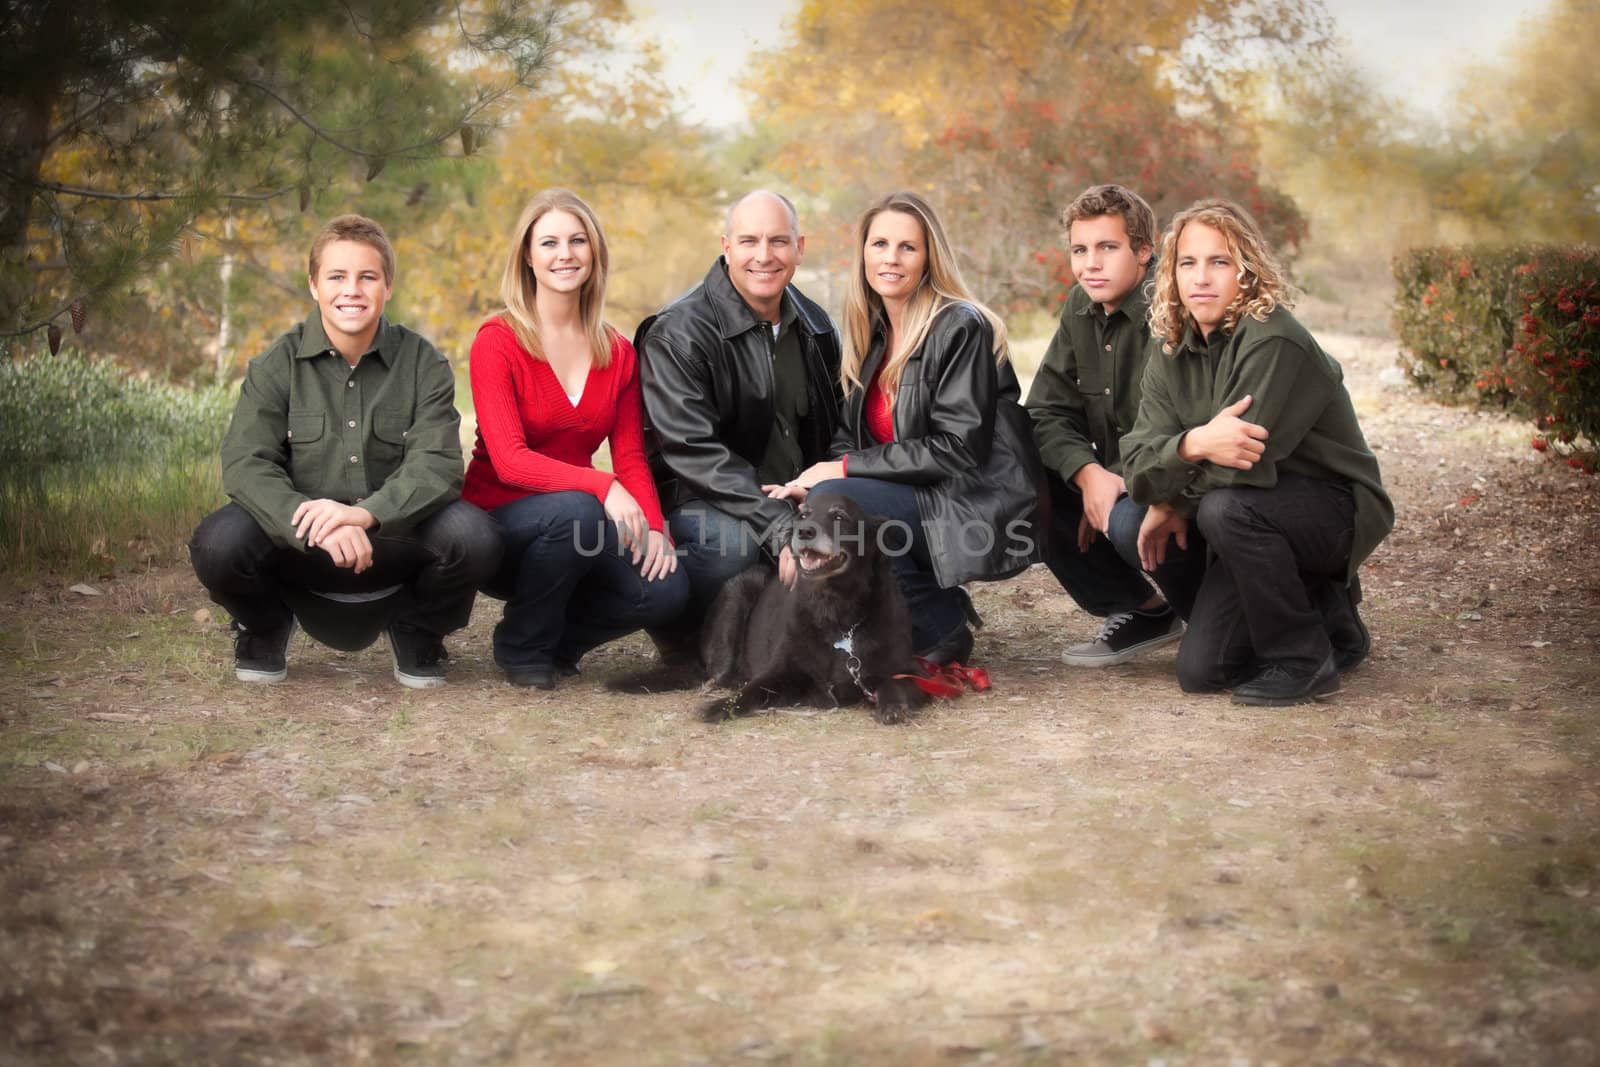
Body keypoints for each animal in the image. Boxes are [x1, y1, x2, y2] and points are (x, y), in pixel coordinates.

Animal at [697, 492, 934, 726]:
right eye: (802, 516)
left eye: (839, 516)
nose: (804, 531)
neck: (835, 614)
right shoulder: (782, 671)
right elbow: (753, 690)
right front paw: (721, 706)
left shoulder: (912, 672)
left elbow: (894, 683)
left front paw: (892, 705)